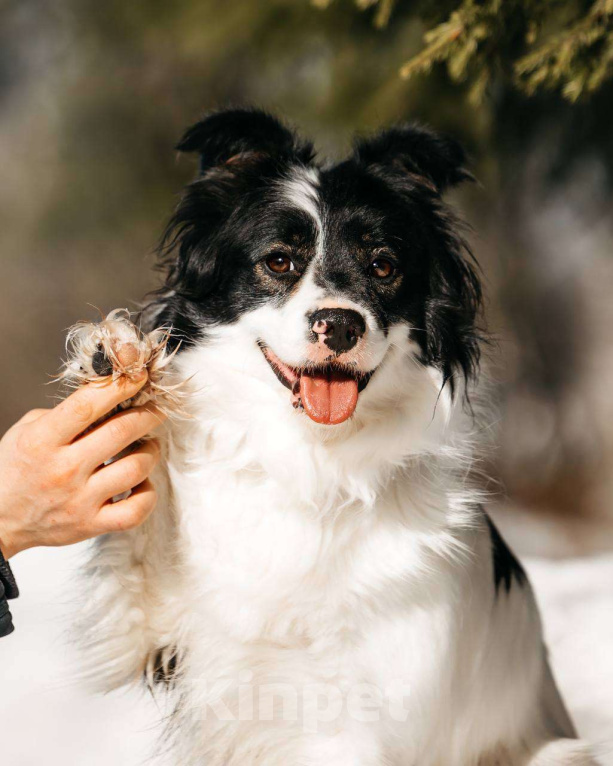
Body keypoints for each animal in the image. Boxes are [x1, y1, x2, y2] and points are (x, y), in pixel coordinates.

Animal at [79, 109, 596, 766]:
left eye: (383, 266)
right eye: (279, 262)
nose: (340, 324)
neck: (313, 458)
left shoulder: (361, 720)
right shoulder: (163, 634)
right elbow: (142, 536)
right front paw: (115, 370)